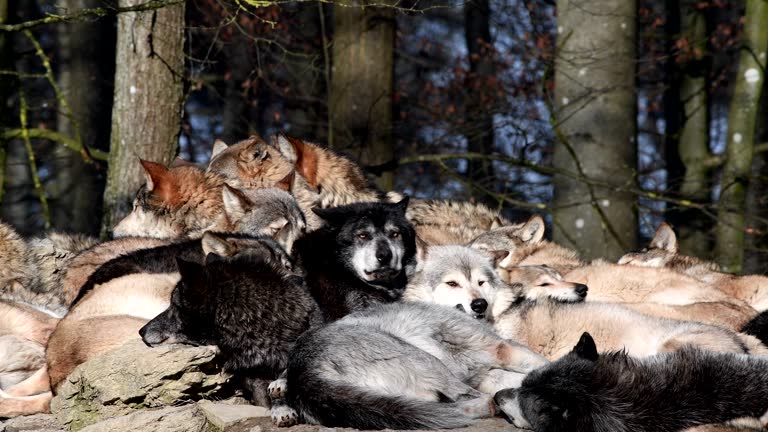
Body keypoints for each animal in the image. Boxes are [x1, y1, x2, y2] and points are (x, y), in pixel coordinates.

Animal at [284, 302, 548, 430]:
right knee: (467, 396)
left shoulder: (488, 373)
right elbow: (538, 362)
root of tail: (302, 375)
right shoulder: (500, 349)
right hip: (427, 360)